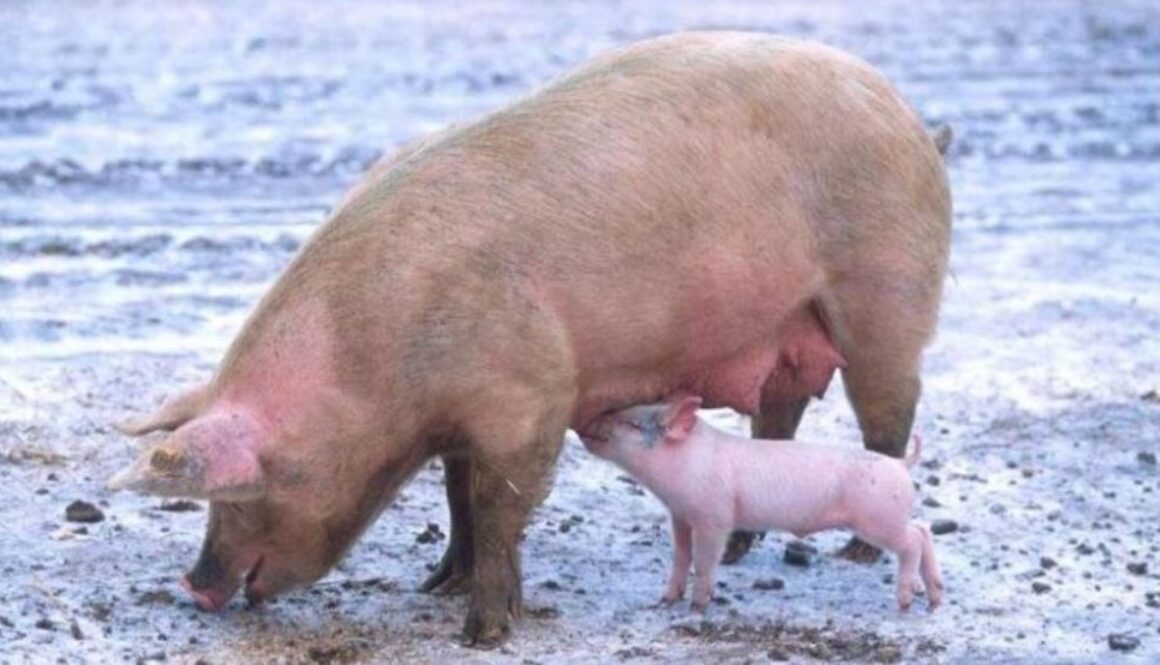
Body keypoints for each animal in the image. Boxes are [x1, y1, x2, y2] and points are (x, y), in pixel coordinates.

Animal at [579, 395, 943, 611]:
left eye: (632, 424)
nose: (585, 423)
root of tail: (901, 464)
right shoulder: (680, 514)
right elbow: (681, 556)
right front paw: (666, 600)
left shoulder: (714, 516)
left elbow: (705, 560)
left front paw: (698, 606)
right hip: (890, 516)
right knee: (923, 529)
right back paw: (935, 596)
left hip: (878, 518)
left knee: (912, 540)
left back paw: (906, 601)